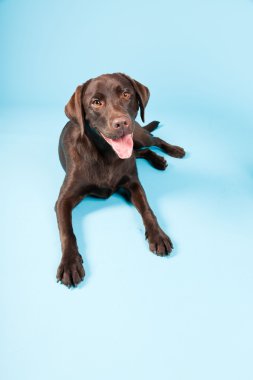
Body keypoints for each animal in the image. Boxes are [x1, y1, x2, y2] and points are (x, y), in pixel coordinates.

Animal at [55, 72, 185, 286]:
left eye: (126, 94)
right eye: (96, 102)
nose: (122, 123)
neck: (106, 155)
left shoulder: (133, 184)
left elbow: (148, 210)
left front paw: (158, 235)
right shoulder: (63, 200)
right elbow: (67, 232)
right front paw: (70, 263)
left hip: (139, 135)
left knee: (153, 140)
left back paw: (173, 151)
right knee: (142, 151)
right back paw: (158, 160)